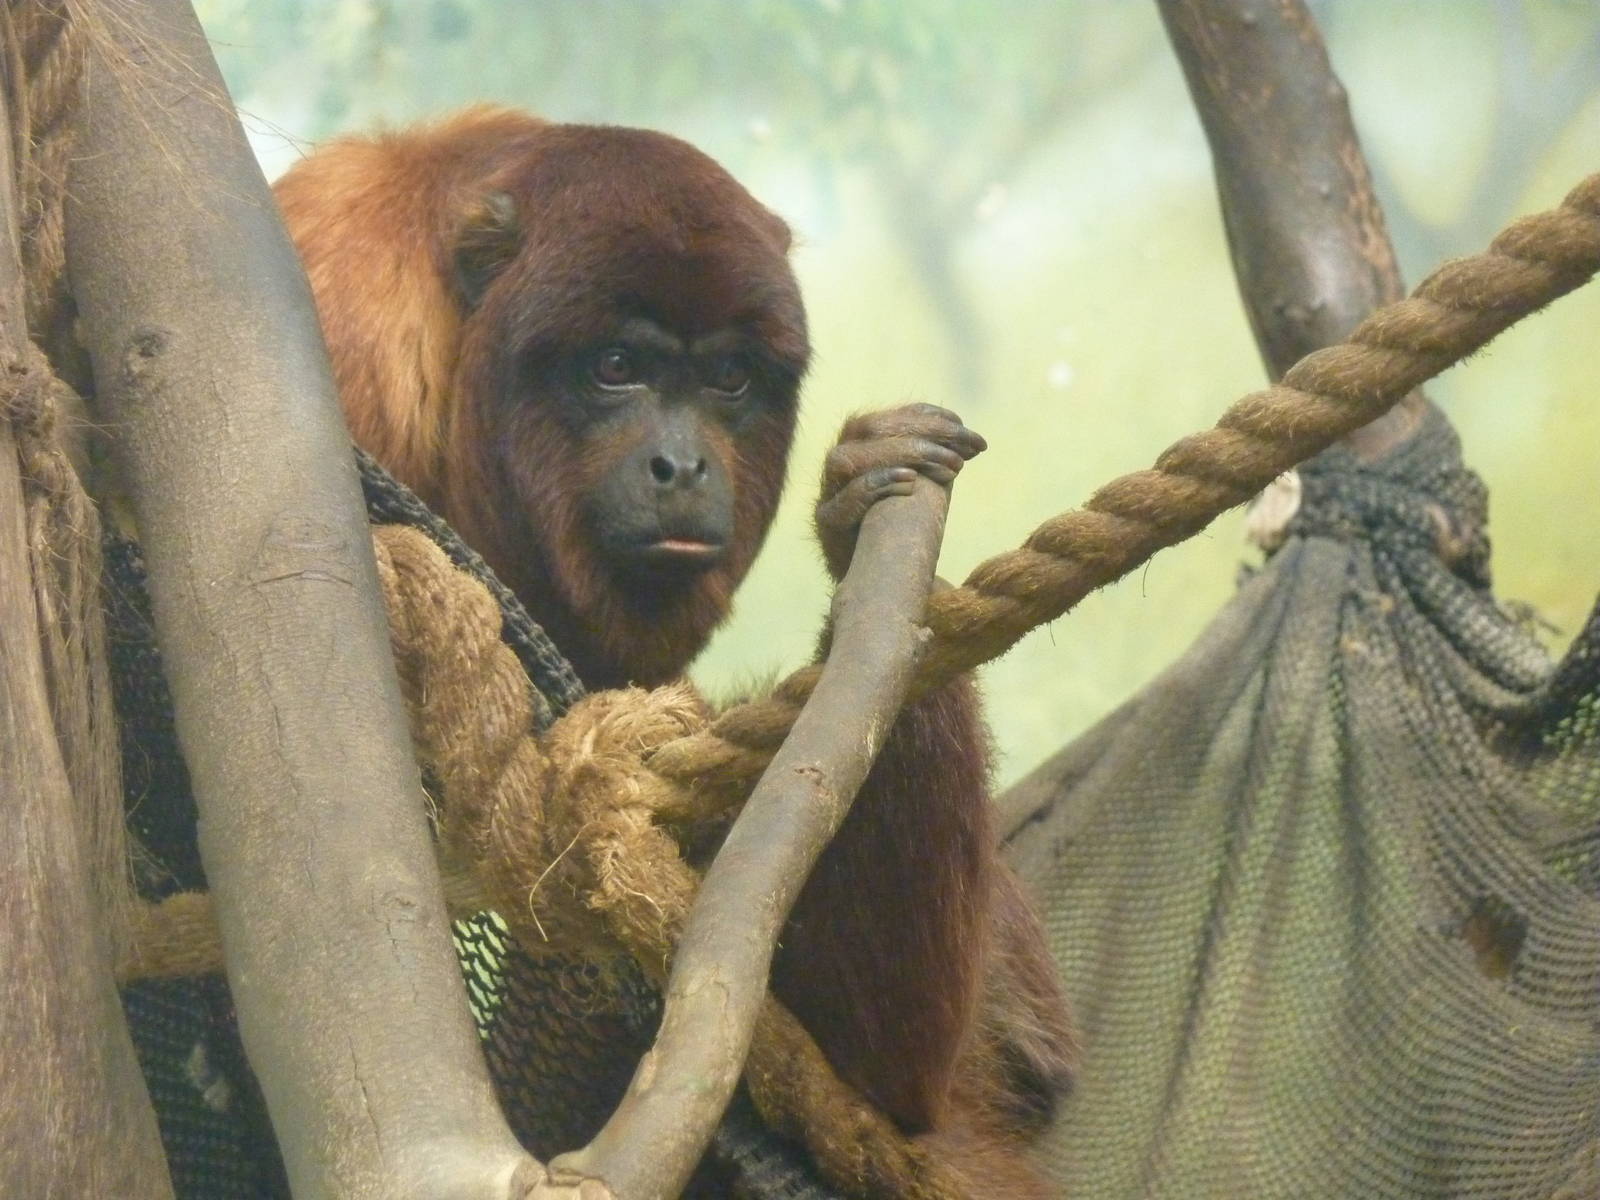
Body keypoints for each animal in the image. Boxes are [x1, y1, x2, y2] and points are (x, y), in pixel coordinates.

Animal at [273, 106, 1072, 1194]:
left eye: (728, 377)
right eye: (617, 367)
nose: (682, 465)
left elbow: (883, 1073)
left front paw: (856, 517)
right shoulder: (344, 357)